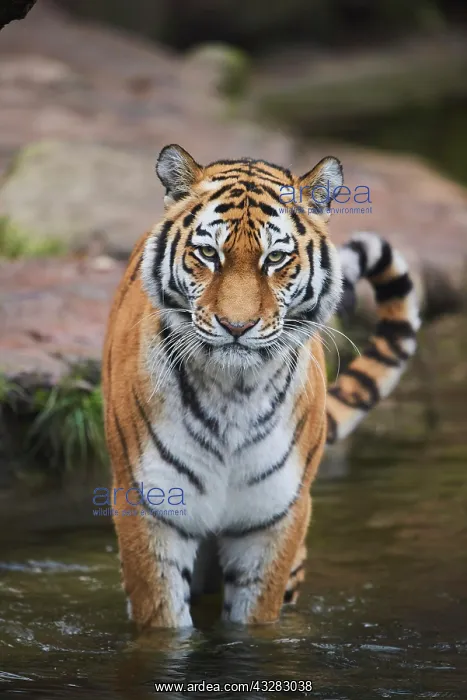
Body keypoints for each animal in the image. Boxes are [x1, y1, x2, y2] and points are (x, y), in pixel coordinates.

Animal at [102, 144, 420, 629]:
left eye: (274, 259)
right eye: (208, 254)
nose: (237, 326)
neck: (233, 394)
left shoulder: (274, 520)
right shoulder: (150, 510)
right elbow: (163, 620)